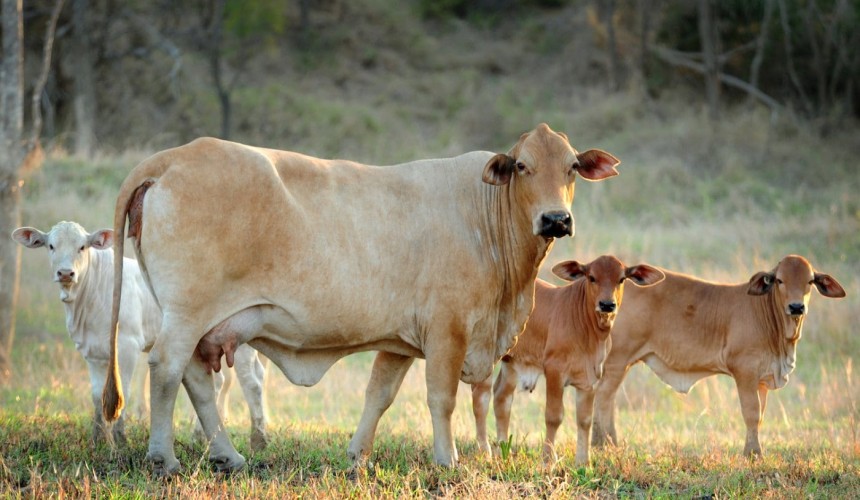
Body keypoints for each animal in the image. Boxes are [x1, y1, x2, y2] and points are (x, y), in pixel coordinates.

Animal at [12, 221, 270, 449]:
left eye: (82, 247)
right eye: (51, 245)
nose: (66, 273)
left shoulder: (127, 345)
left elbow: (123, 392)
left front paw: (121, 440)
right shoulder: (91, 351)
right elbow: (96, 396)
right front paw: (99, 440)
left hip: (240, 342)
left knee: (252, 381)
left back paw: (258, 440)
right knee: (219, 381)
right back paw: (202, 436)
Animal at [99, 123, 621, 475]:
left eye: (572, 168)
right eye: (523, 167)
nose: (556, 219)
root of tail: (174, 157)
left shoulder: (400, 339)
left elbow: (379, 395)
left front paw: (357, 456)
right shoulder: (447, 331)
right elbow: (441, 399)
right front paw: (447, 460)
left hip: (199, 320)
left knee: (195, 378)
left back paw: (229, 455)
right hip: (187, 313)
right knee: (167, 369)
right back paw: (164, 458)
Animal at [470, 255, 664, 465]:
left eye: (621, 279)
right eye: (591, 277)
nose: (607, 305)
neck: (590, 333)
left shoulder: (591, 379)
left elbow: (585, 420)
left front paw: (583, 462)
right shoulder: (554, 371)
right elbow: (553, 416)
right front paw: (548, 459)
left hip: (511, 361)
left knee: (502, 398)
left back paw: (503, 451)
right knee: (481, 399)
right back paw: (485, 452)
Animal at [590, 255, 846, 457]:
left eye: (810, 281)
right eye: (780, 280)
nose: (796, 307)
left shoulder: (762, 379)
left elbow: (761, 416)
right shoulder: (744, 371)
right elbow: (751, 413)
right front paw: (753, 454)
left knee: (608, 398)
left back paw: (609, 443)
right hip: (617, 359)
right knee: (603, 397)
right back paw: (602, 444)